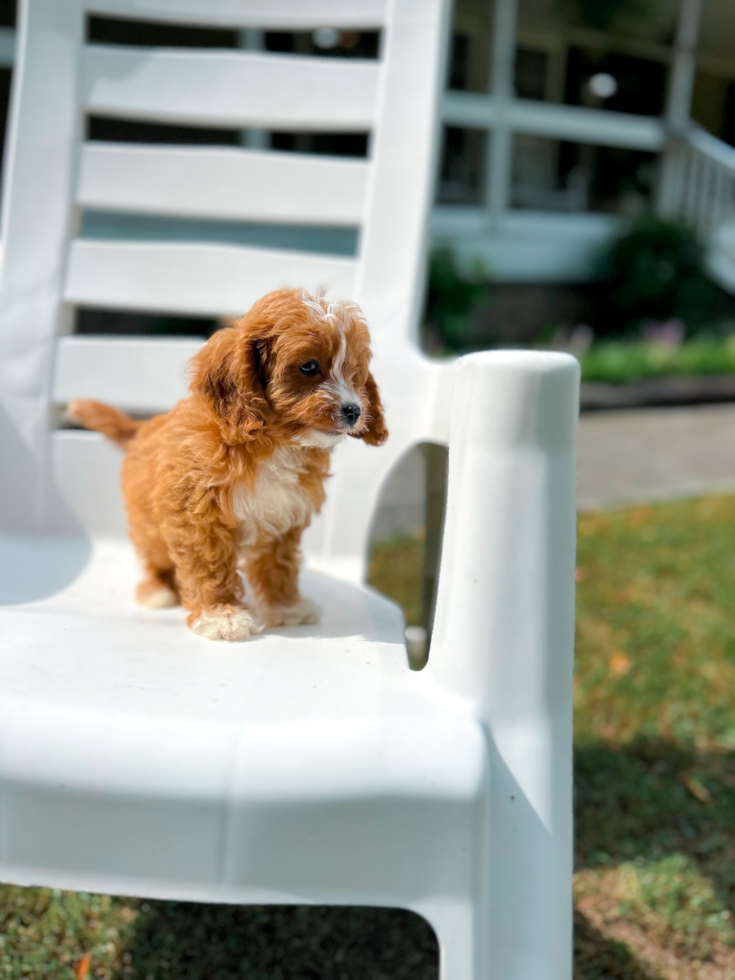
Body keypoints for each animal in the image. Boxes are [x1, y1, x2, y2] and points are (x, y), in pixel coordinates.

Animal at [69, 290, 388, 644]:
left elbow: (279, 565)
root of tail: (142, 428)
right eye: (309, 366)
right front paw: (221, 616)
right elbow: (209, 566)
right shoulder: (196, 514)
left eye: (355, 373)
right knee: (154, 555)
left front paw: (285, 607)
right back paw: (157, 590)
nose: (353, 410)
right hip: (147, 521)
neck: (274, 444)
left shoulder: (284, 513)